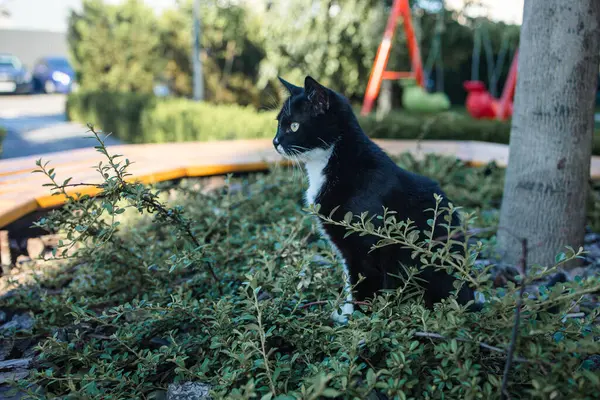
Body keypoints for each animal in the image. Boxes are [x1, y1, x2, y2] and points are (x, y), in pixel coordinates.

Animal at [274, 76, 478, 322]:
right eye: (278, 123)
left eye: (293, 126)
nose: (275, 141)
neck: (333, 161)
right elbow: (350, 280)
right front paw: (346, 313)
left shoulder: (366, 246)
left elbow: (363, 283)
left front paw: (357, 319)